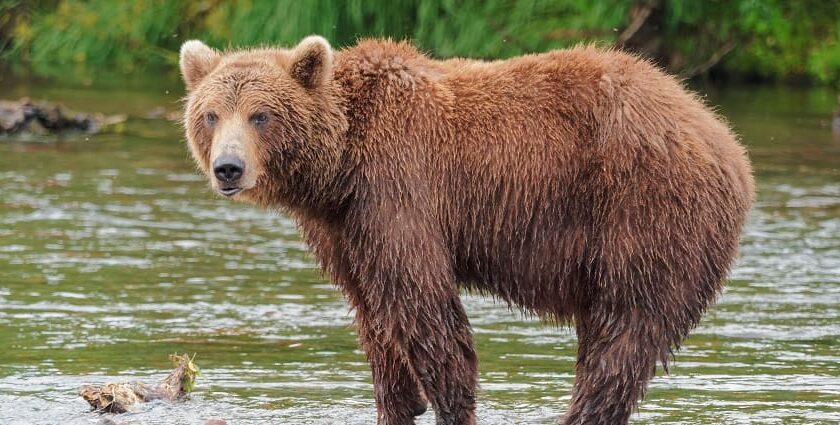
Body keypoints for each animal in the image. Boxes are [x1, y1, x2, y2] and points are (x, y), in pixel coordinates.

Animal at [177, 37, 756, 424]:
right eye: (210, 114)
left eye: (261, 115)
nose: (228, 168)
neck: (338, 167)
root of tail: (725, 138)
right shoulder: (344, 228)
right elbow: (373, 315)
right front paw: (398, 400)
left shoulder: (398, 190)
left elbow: (424, 306)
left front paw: (449, 402)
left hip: (645, 213)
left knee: (624, 333)